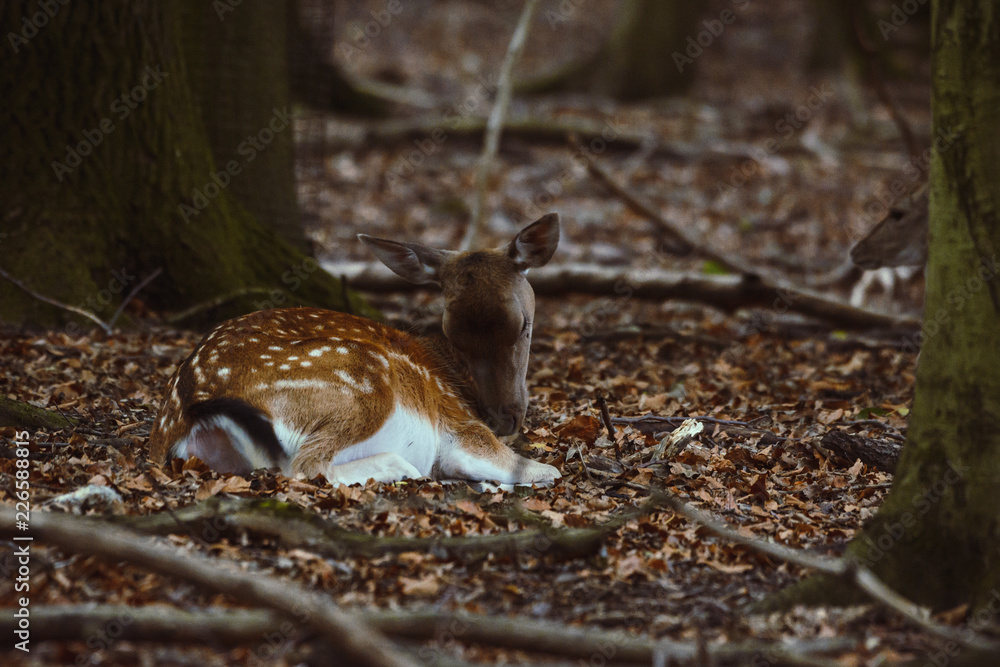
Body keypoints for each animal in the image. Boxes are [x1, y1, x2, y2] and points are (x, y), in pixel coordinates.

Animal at [146, 217, 564, 488]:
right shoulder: (461, 424)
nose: (505, 417)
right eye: (451, 331)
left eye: (523, 326)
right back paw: (401, 469)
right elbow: (534, 469)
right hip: (360, 380)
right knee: (302, 466)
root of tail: (188, 416)